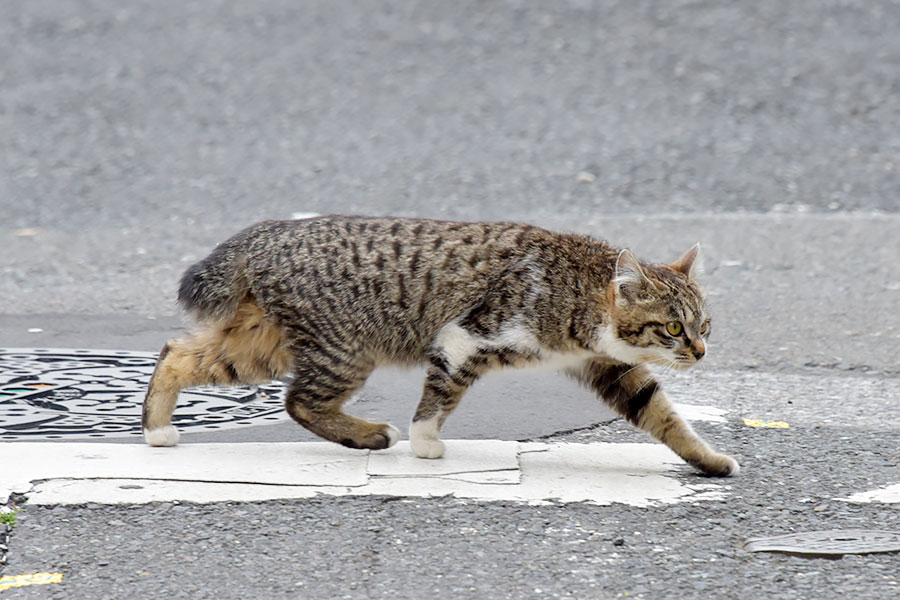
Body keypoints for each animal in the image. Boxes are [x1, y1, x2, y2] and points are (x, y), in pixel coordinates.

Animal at [144, 213, 740, 476]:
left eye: (705, 326)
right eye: (672, 328)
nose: (701, 352)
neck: (577, 296)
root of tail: (264, 233)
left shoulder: (609, 367)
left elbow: (664, 417)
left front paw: (708, 461)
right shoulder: (463, 337)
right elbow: (439, 397)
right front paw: (425, 442)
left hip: (259, 346)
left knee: (176, 354)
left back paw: (154, 428)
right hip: (344, 351)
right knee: (300, 401)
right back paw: (368, 435)